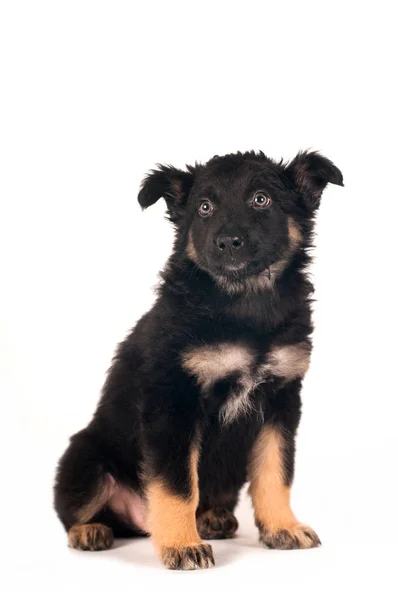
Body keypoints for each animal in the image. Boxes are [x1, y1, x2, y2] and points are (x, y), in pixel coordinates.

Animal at [54, 149, 344, 568]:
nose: (227, 242)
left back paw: (212, 518)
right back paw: (90, 530)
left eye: (261, 199)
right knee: (76, 511)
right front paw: (181, 545)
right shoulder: (174, 401)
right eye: (204, 208)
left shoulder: (281, 400)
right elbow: (177, 484)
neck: (245, 305)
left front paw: (282, 527)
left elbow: (276, 472)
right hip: (85, 461)